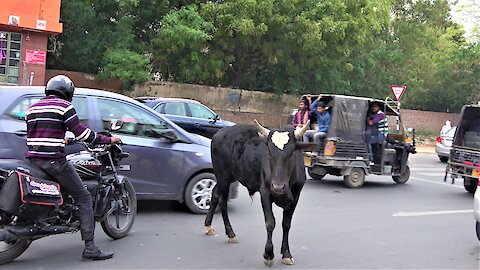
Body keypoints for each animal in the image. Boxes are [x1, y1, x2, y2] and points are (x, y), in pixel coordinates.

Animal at [204, 119, 314, 264]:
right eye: (269, 153)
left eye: (292, 154)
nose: (278, 187)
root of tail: (219, 133)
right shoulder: (265, 193)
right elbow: (270, 222)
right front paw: (268, 254)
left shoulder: (296, 196)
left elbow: (286, 224)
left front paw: (286, 254)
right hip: (223, 176)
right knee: (222, 201)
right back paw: (231, 233)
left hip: (229, 177)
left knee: (215, 193)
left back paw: (208, 226)